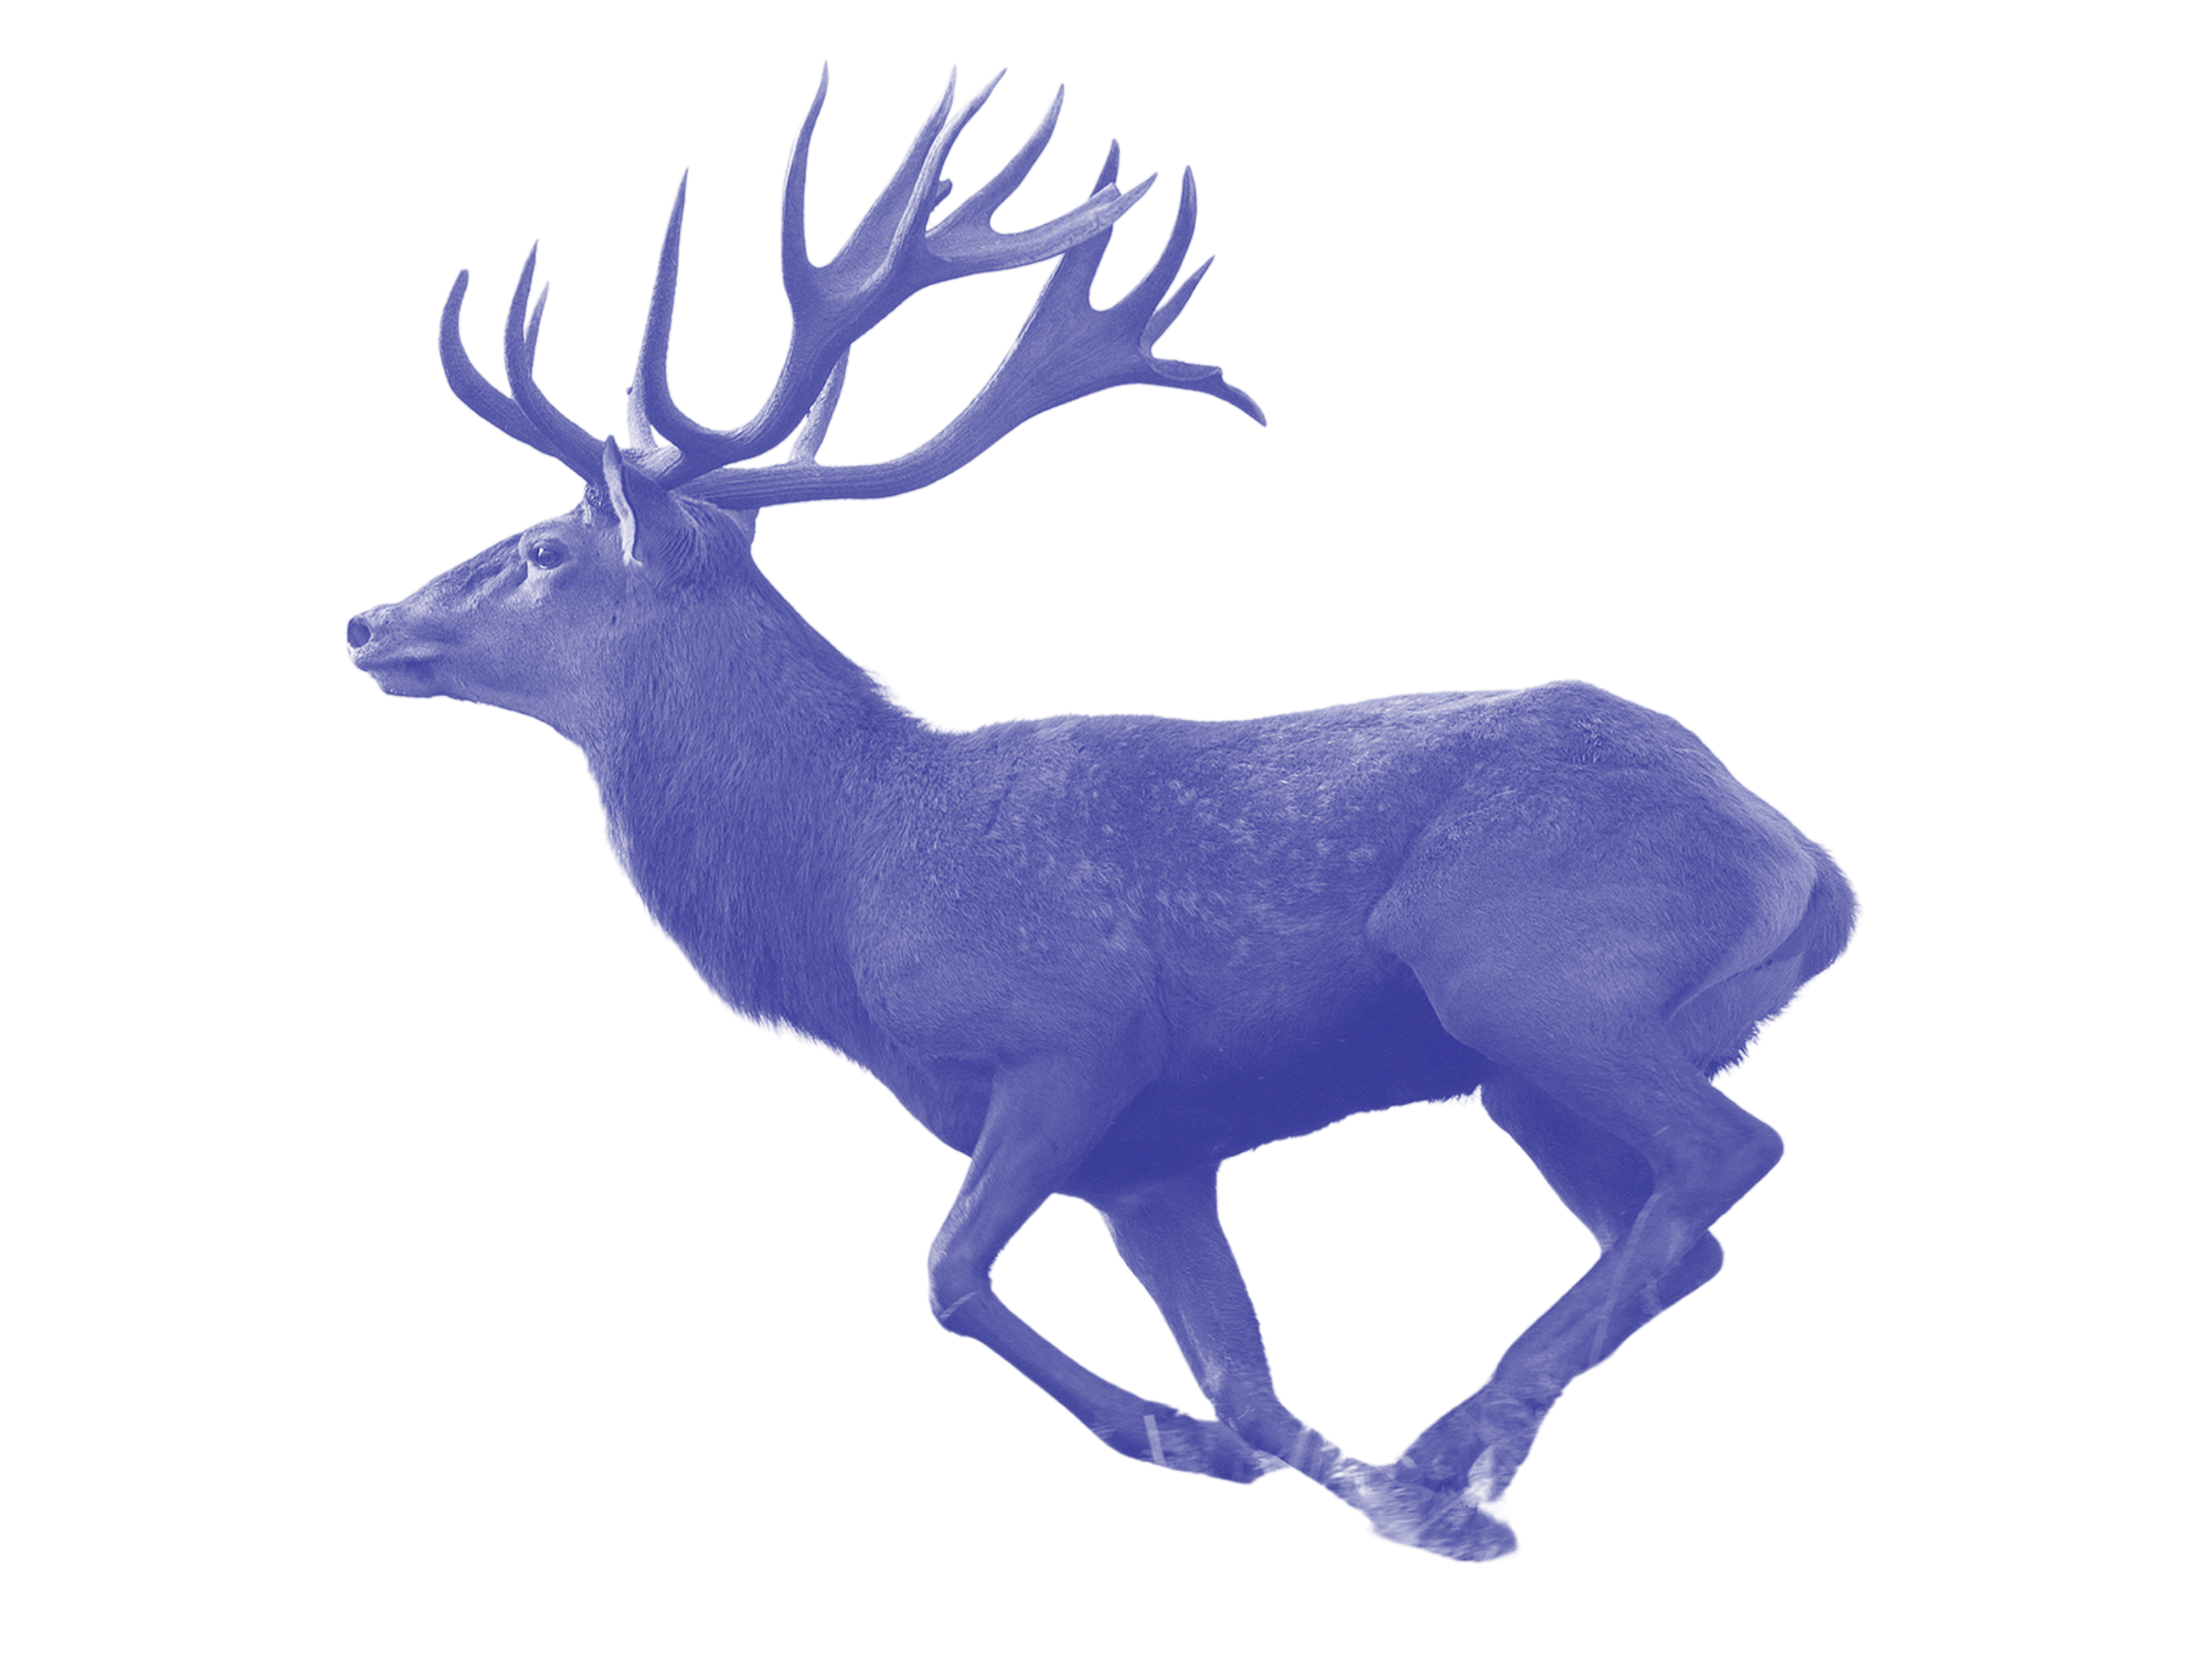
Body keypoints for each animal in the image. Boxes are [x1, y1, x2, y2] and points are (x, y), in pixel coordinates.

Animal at [344, 59, 1863, 1564]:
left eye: (547, 549)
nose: (370, 626)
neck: (847, 896)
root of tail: (1804, 864)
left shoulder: (1072, 1038)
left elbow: (952, 1274)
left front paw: (1194, 1444)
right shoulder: (1159, 1153)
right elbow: (1242, 1372)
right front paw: (1320, 1470)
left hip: (1530, 971)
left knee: (1726, 1151)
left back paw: (1453, 1451)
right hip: (1526, 1072)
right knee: (1680, 1228)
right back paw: (1468, 1486)